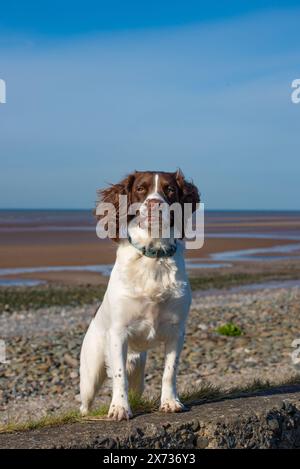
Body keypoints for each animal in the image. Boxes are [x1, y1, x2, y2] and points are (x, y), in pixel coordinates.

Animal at [79, 169, 200, 420]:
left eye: (169, 189)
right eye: (141, 189)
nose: (154, 203)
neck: (153, 256)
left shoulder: (177, 332)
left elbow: (169, 371)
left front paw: (170, 402)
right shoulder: (118, 333)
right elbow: (118, 375)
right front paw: (119, 408)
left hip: (137, 370)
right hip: (91, 372)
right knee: (85, 401)